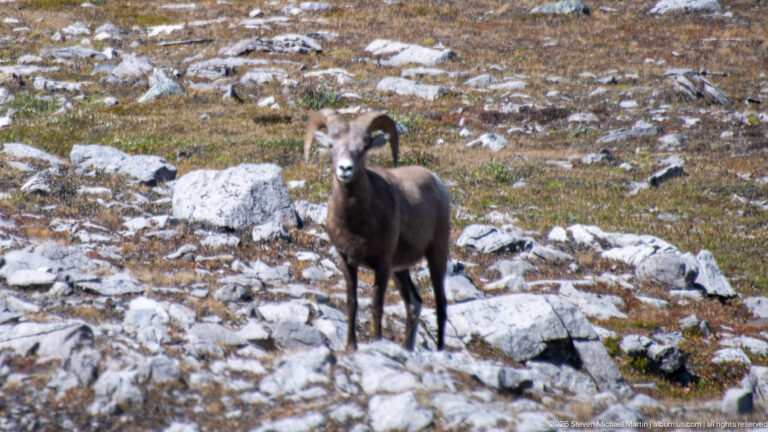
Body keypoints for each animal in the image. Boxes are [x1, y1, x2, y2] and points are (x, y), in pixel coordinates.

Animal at [303, 108, 449, 351]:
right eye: (332, 145)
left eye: (363, 148)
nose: (345, 169)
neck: (355, 224)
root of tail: (438, 183)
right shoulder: (347, 260)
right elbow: (352, 303)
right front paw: (350, 348)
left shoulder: (382, 264)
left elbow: (376, 306)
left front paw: (376, 341)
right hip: (400, 269)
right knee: (414, 303)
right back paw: (406, 348)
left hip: (436, 254)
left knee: (440, 305)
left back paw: (439, 350)